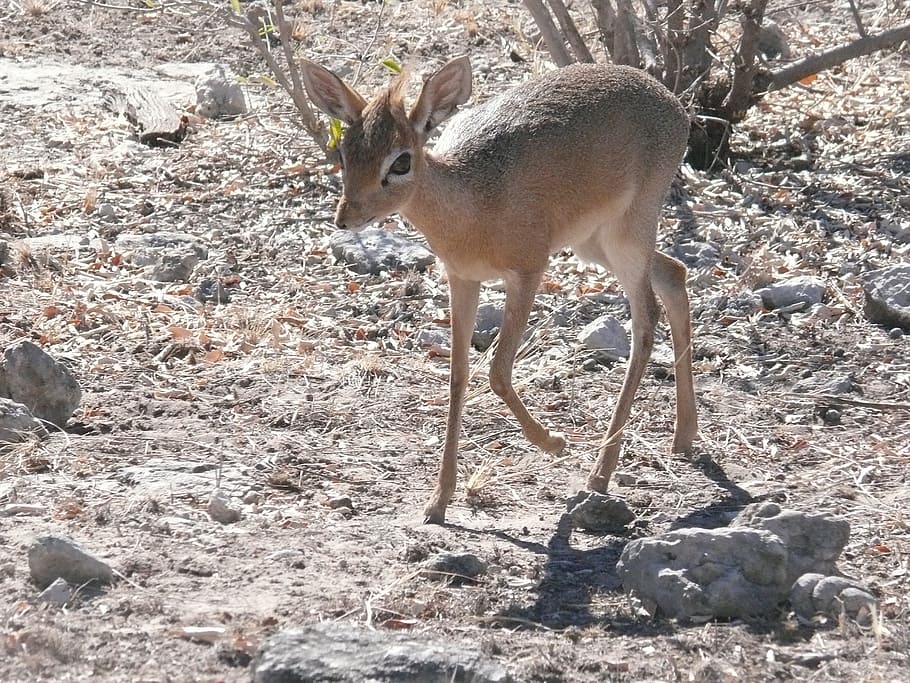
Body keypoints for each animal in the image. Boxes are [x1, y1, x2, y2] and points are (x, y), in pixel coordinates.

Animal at [302, 56, 700, 528]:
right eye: (344, 152)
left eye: (400, 162)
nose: (346, 217)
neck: (473, 204)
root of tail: (670, 100)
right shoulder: (462, 279)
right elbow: (457, 376)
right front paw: (439, 499)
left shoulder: (528, 271)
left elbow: (496, 370)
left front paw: (554, 442)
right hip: (595, 242)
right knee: (674, 274)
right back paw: (683, 436)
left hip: (628, 233)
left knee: (646, 318)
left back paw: (601, 473)